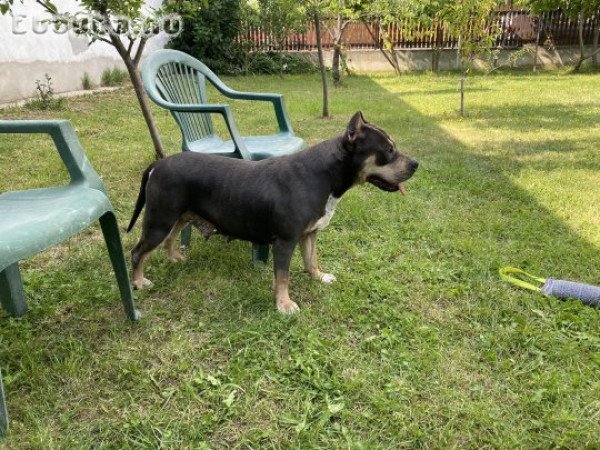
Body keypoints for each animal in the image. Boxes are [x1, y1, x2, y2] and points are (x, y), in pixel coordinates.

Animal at [127, 113, 418, 312]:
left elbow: (312, 259)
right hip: (159, 220)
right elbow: (283, 276)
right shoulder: (285, 241)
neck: (324, 174)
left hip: (178, 215)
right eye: (388, 150)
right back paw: (139, 282)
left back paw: (174, 258)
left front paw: (319, 277)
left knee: (171, 237)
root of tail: (158, 164)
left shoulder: (309, 234)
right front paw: (284, 305)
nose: (416, 164)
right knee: (138, 251)